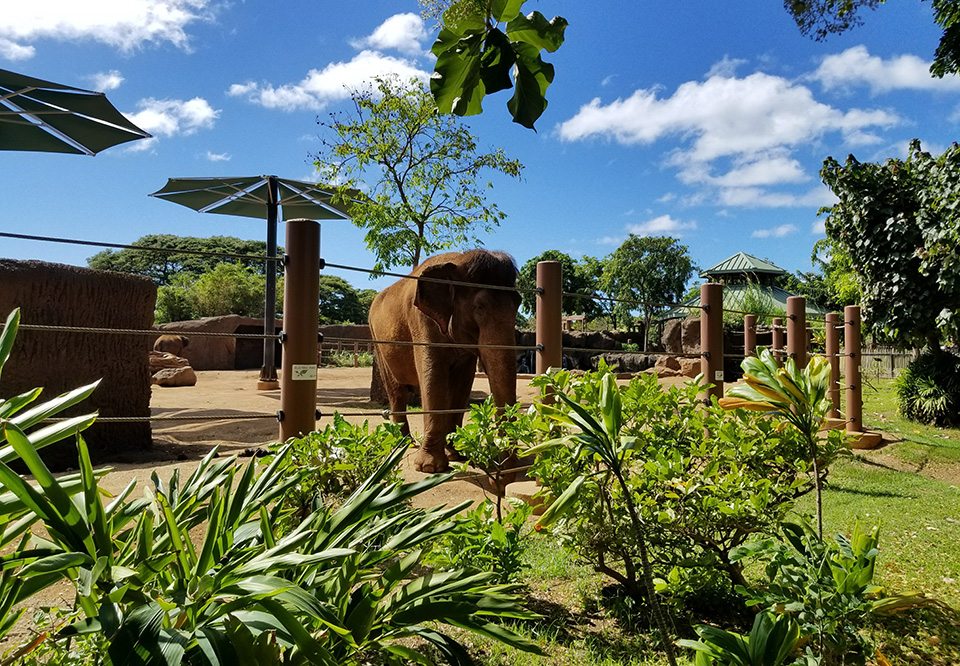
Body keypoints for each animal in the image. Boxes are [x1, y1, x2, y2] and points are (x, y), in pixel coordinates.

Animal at [369, 249, 522, 473]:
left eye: (518, 304)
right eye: (479, 307)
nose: (502, 463)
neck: (458, 261)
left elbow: (463, 383)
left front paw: (456, 454)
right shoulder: (422, 321)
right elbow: (433, 376)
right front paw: (430, 468)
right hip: (377, 342)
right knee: (396, 391)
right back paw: (403, 444)